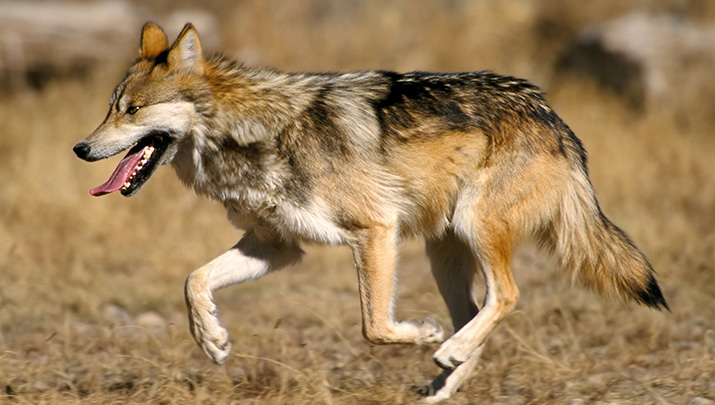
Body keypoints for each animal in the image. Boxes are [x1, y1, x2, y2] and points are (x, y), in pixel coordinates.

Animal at [72, 22, 672, 400]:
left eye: (133, 110)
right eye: (110, 109)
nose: (79, 148)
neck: (252, 134)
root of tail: (553, 116)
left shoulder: (374, 231)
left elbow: (375, 327)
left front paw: (423, 334)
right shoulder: (276, 247)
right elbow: (194, 280)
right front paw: (212, 340)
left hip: (473, 229)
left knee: (506, 296)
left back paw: (445, 349)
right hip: (443, 253)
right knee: (477, 314)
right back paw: (444, 379)